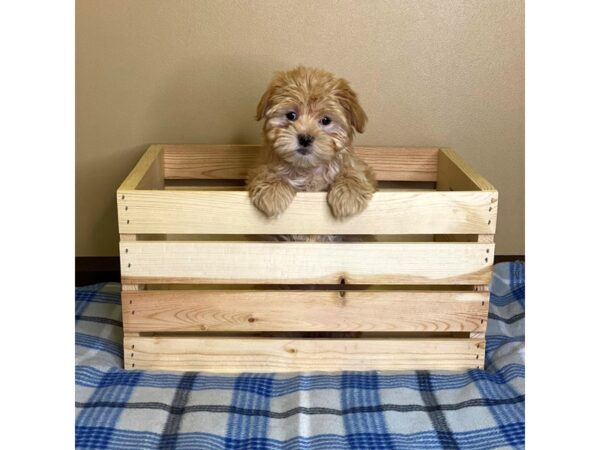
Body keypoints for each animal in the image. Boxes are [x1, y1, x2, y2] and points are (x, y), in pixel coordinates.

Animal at [246, 66, 378, 229]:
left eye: (326, 120)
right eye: (291, 115)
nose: (305, 138)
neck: (307, 168)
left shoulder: (358, 167)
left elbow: (353, 171)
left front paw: (349, 194)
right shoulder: (260, 166)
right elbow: (266, 171)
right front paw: (272, 192)